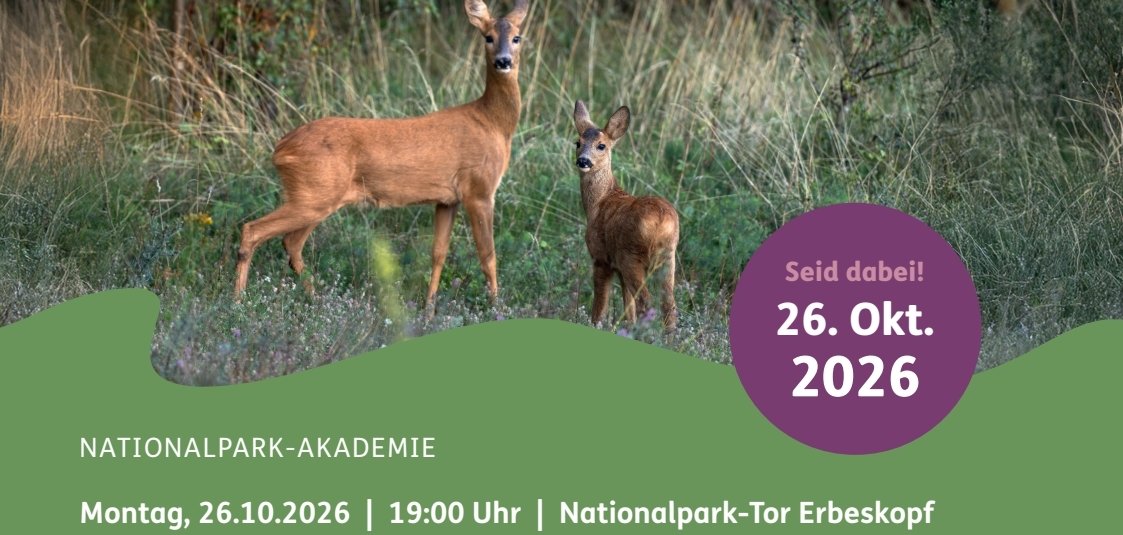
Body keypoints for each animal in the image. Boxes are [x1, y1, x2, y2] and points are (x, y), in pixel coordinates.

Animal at [233, 0, 530, 314]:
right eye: (488, 37)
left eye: (517, 37)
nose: (503, 61)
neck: (493, 123)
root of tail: (280, 149)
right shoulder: (479, 188)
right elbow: (488, 254)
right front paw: (497, 307)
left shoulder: (447, 199)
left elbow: (438, 252)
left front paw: (429, 308)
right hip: (314, 194)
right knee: (253, 230)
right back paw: (238, 301)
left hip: (316, 195)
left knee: (291, 243)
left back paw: (316, 300)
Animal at [572, 101, 679, 330]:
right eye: (578, 142)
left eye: (601, 145)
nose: (583, 161)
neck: (599, 202)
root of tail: (661, 221)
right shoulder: (618, 268)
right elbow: (627, 309)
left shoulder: (601, 258)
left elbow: (599, 309)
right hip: (668, 258)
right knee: (669, 305)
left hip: (632, 256)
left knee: (646, 303)